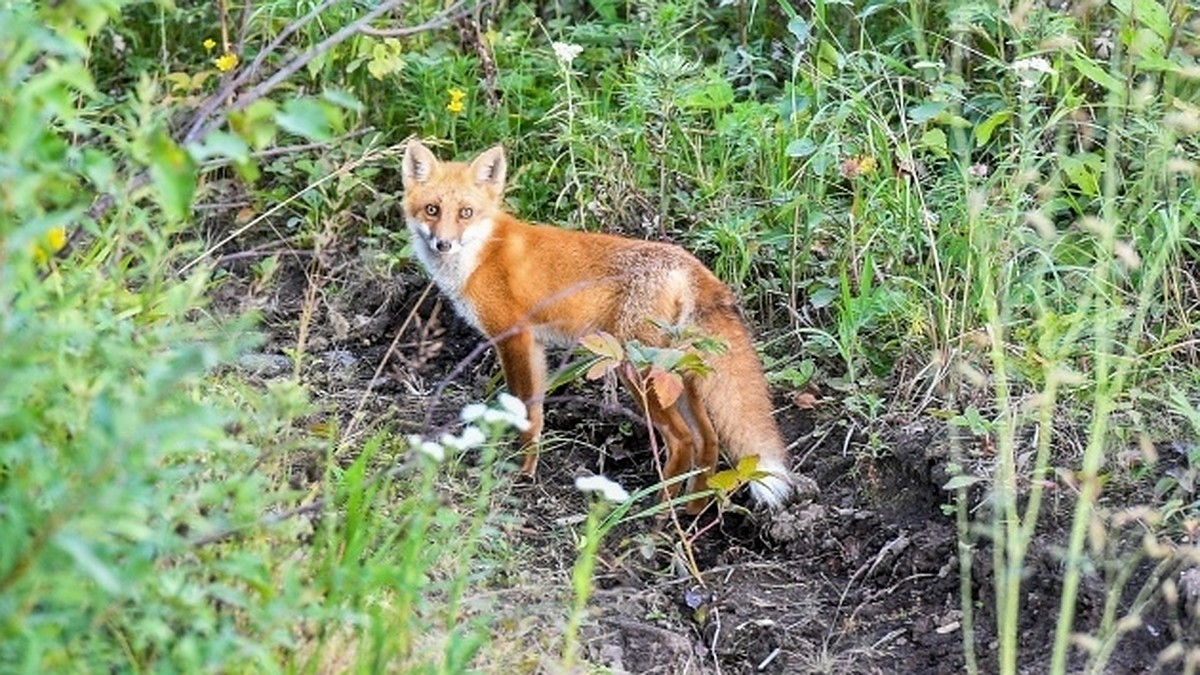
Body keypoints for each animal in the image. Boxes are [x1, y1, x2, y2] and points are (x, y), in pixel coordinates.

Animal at [403, 139, 796, 506]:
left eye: (466, 213)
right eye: (432, 210)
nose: (443, 244)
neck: (481, 252)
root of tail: (691, 263)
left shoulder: (513, 338)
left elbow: (524, 411)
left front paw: (521, 474)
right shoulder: (535, 344)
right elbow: (538, 414)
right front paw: (529, 469)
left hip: (636, 368)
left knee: (683, 439)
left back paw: (656, 512)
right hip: (678, 373)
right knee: (708, 439)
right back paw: (690, 511)